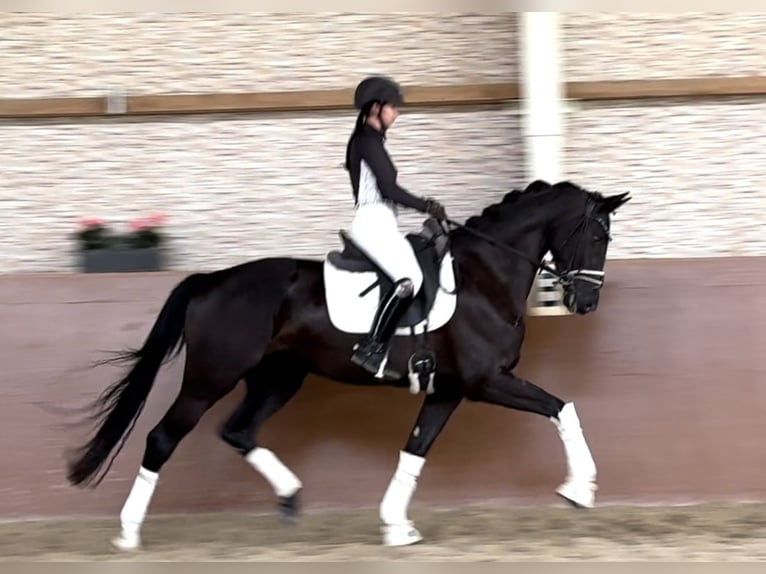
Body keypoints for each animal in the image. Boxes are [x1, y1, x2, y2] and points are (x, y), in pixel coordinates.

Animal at [64, 180, 632, 548]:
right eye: (597, 236)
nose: (586, 303)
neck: (484, 277)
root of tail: (211, 280)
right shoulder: (487, 381)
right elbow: (563, 407)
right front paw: (580, 490)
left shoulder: (448, 389)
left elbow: (415, 450)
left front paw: (396, 526)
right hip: (210, 379)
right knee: (163, 438)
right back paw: (128, 534)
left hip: (279, 377)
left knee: (238, 431)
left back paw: (291, 498)